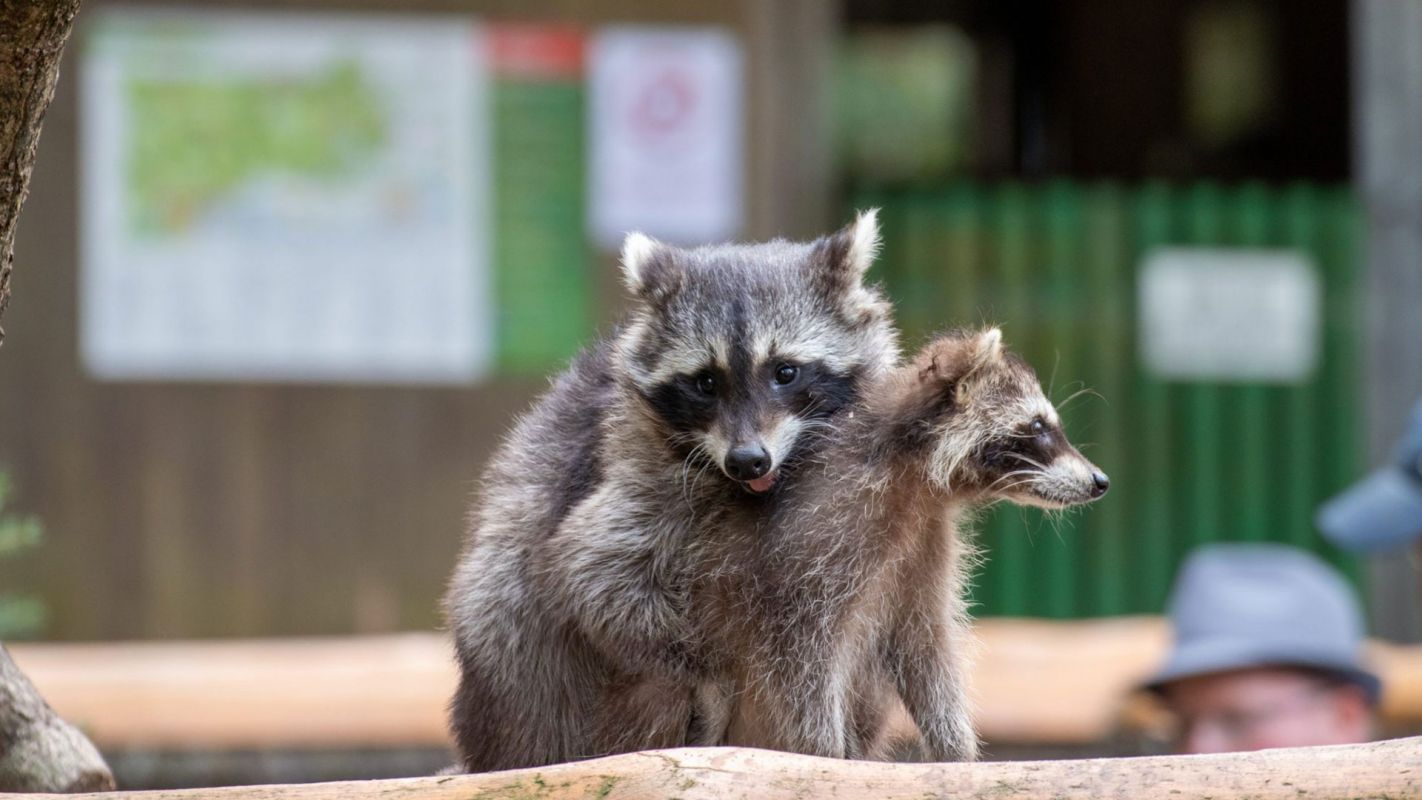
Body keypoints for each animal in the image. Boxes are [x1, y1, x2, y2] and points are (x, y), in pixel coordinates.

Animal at [440, 211, 898, 767]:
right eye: (705, 382)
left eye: (785, 372)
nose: (747, 460)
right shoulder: (633, 466)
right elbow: (591, 575)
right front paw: (707, 670)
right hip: (541, 691)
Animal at [688, 329, 1109, 761]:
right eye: (1038, 425)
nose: (1100, 481)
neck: (915, 472)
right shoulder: (817, 543)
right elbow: (801, 662)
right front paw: (823, 752)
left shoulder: (925, 537)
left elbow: (924, 647)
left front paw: (955, 751)